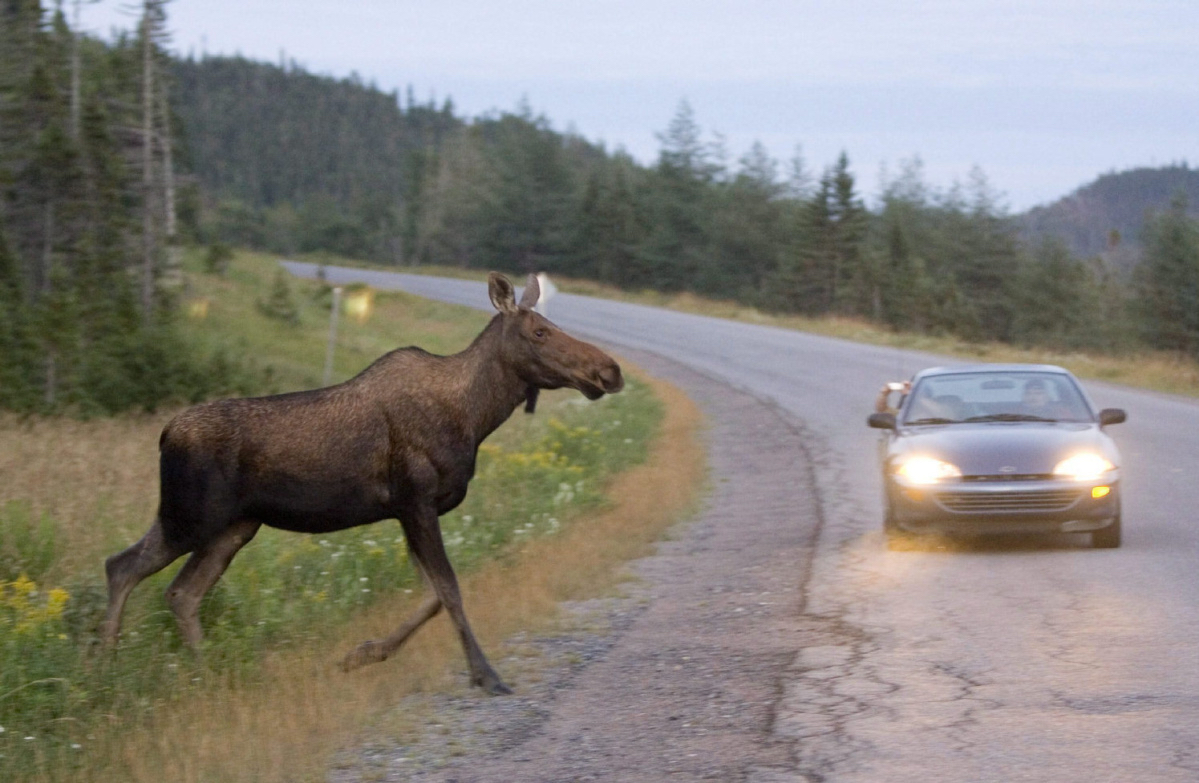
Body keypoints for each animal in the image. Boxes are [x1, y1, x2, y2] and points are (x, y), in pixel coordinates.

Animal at [100, 272, 628, 695]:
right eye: (540, 331)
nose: (611, 369)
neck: (475, 417)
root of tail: (165, 435)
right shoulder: (416, 499)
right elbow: (450, 590)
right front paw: (486, 675)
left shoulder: (410, 510)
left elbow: (431, 595)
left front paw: (361, 655)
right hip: (191, 517)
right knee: (123, 567)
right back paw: (106, 669)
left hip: (232, 527)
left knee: (180, 592)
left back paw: (202, 674)